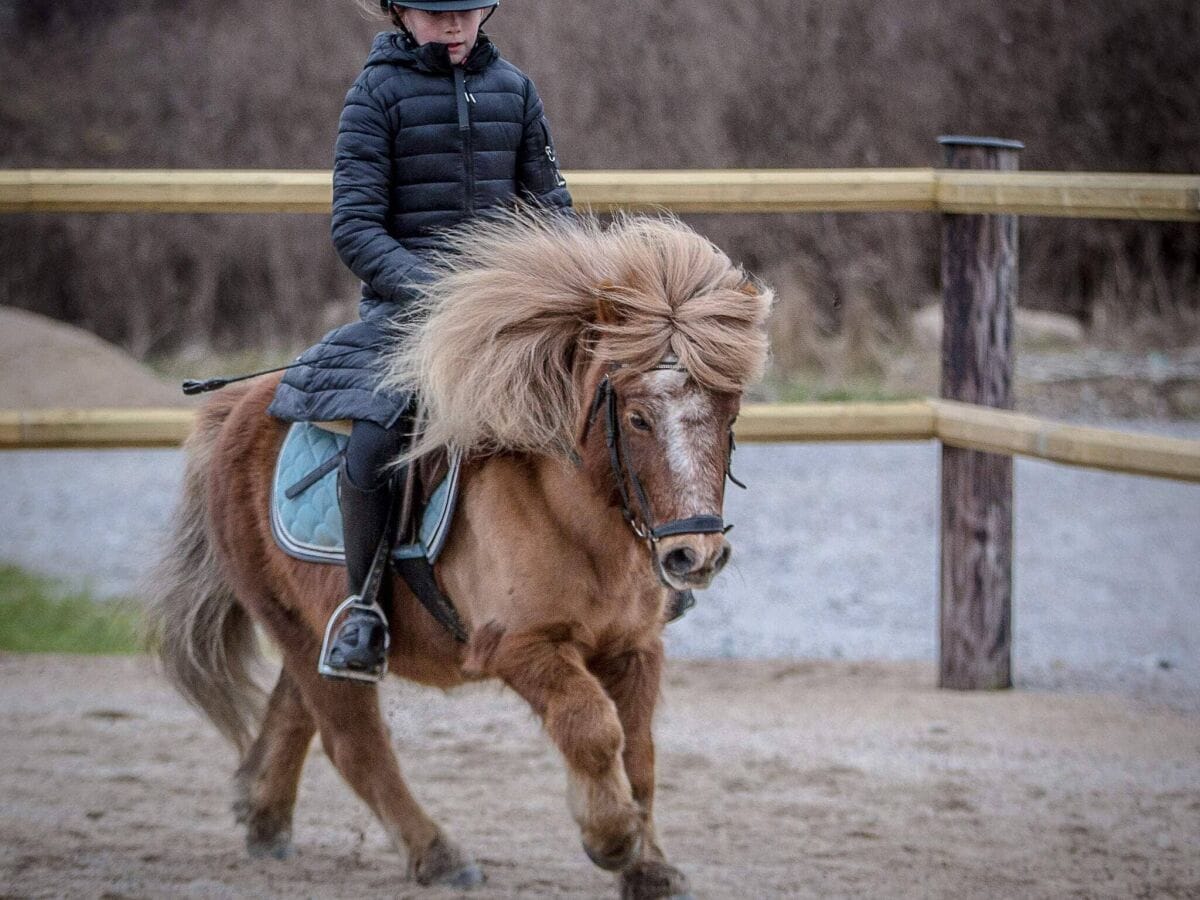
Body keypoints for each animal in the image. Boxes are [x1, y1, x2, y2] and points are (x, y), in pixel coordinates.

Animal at [147, 207, 768, 897]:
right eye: (636, 418)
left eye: (729, 410)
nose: (695, 555)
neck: (579, 520)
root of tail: (234, 410)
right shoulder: (519, 645)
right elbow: (592, 728)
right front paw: (610, 839)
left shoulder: (634, 647)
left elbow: (640, 755)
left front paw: (650, 868)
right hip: (290, 622)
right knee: (352, 741)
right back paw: (437, 855)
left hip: (309, 626)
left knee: (296, 714)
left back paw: (263, 819)